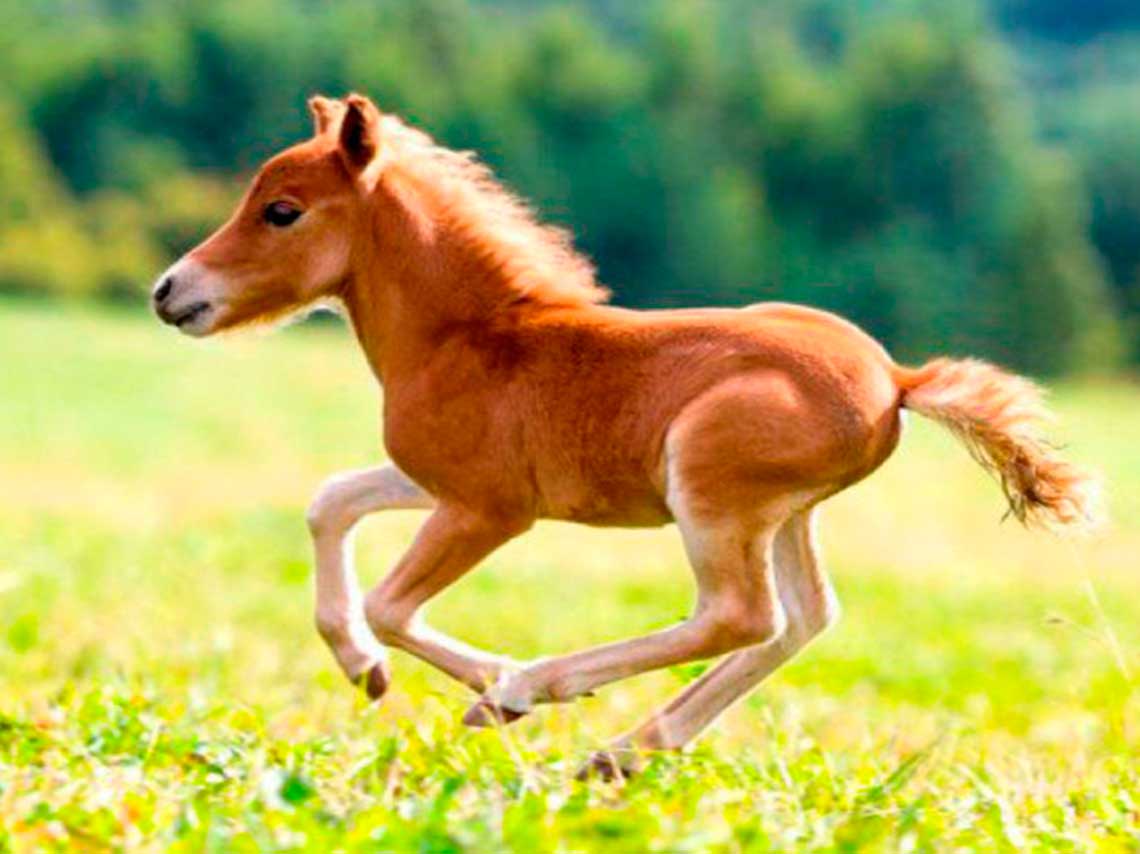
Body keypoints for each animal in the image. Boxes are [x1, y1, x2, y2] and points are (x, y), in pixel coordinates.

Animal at [151, 96, 1094, 775]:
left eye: (281, 211)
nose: (170, 292)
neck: (469, 337)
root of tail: (897, 380)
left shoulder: (489, 509)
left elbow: (389, 601)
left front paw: (492, 683)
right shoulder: (435, 480)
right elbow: (330, 503)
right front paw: (363, 667)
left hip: (710, 490)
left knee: (739, 616)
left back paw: (541, 691)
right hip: (788, 514)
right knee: (803, 621)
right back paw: (621, 755)